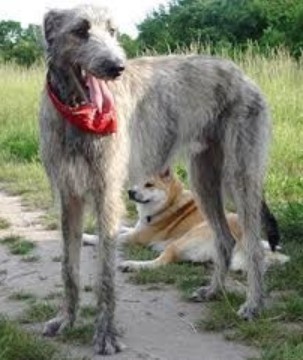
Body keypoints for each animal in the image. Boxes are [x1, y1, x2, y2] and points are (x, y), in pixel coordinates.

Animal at [112, 170, 290, 272]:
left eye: (149, 185)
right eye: (136, 182)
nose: (130, 192)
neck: (169, 203)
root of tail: (241, 238)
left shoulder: (137, 237)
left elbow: (114, 236)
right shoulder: (136, 229)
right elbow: (121, 228)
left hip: (184, 239)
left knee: (161, 261)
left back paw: (132, 265)